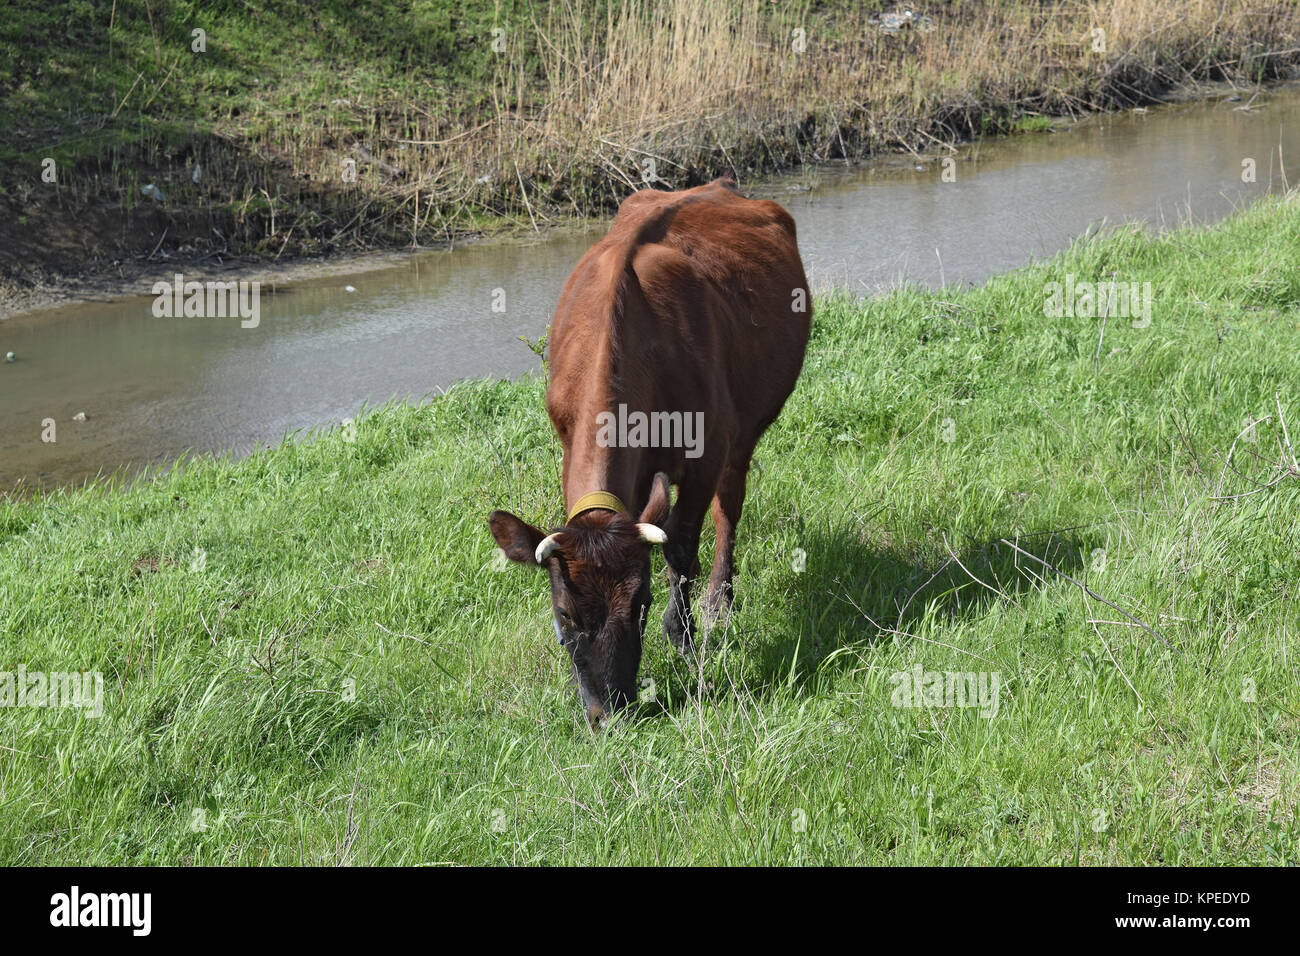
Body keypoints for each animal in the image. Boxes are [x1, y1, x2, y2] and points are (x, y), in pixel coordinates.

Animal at [488, 177, 812, 726]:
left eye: (641, 602)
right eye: (564, 613)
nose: (608, 712)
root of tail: (719, 185)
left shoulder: (706, 453)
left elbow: (681, 545)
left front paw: (682, 636)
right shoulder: (571, 443)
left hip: (745, 431)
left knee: (729, 508)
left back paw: (719, 601)